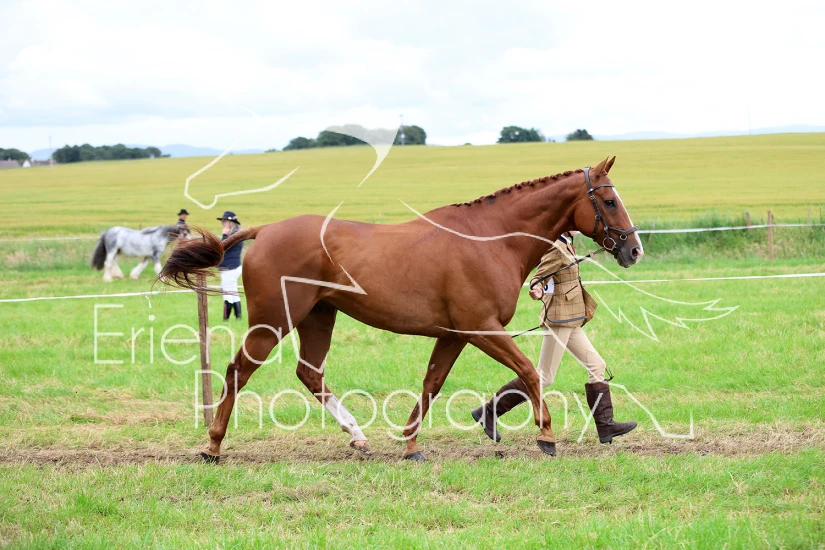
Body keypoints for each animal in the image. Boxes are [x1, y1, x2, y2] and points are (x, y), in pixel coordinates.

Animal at [159, 156, 643, 463]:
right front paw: (546, 435)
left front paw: (410, 445)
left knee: (309, 373)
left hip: (318, 317)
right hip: (272, 322)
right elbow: (528, 372)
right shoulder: (481, 329)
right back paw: (212, 446)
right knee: (238, 371)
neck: (490, 239)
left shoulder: (454, 335)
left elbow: (432, 384)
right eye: (610, 201)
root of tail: (265, 231)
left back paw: (359, 438)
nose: (634, 249)